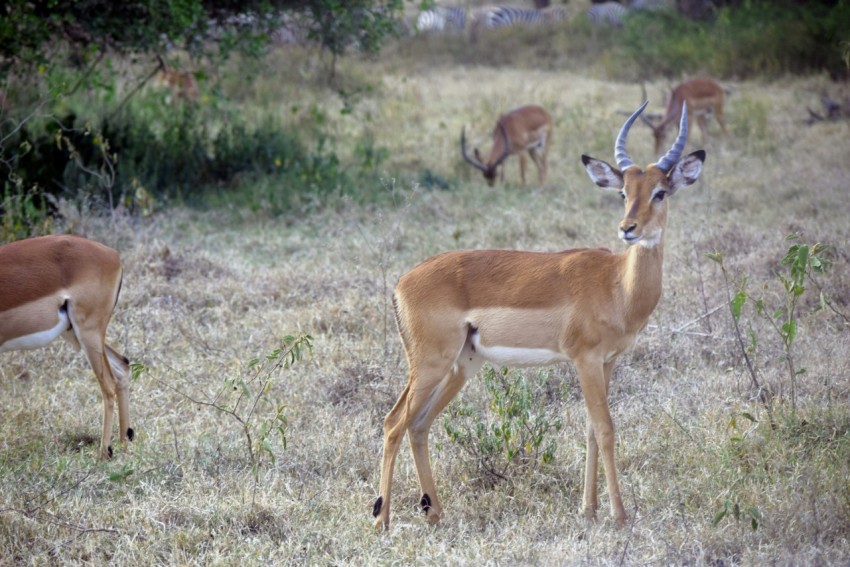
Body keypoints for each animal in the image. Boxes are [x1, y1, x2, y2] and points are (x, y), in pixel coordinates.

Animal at [0, 235, 133, 459]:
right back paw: (124, 443)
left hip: (88, 332)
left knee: (108, 384)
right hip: (77, 333)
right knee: (123, 365)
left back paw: (104, 452)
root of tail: (113, 255)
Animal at [372, 101, 705, 530]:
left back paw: (434, 512)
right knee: (393, 422)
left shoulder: (608, 362)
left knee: (418, 424)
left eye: (660, 192)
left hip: (460, 366)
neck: (617, 284)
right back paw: (381, 519)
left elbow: (590, 429)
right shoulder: (585, 360)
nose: (628, 229)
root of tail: (401, 283)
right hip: (431, 364)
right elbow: (606, 428)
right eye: (623, 192)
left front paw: (588, 509)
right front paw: (619, 514)